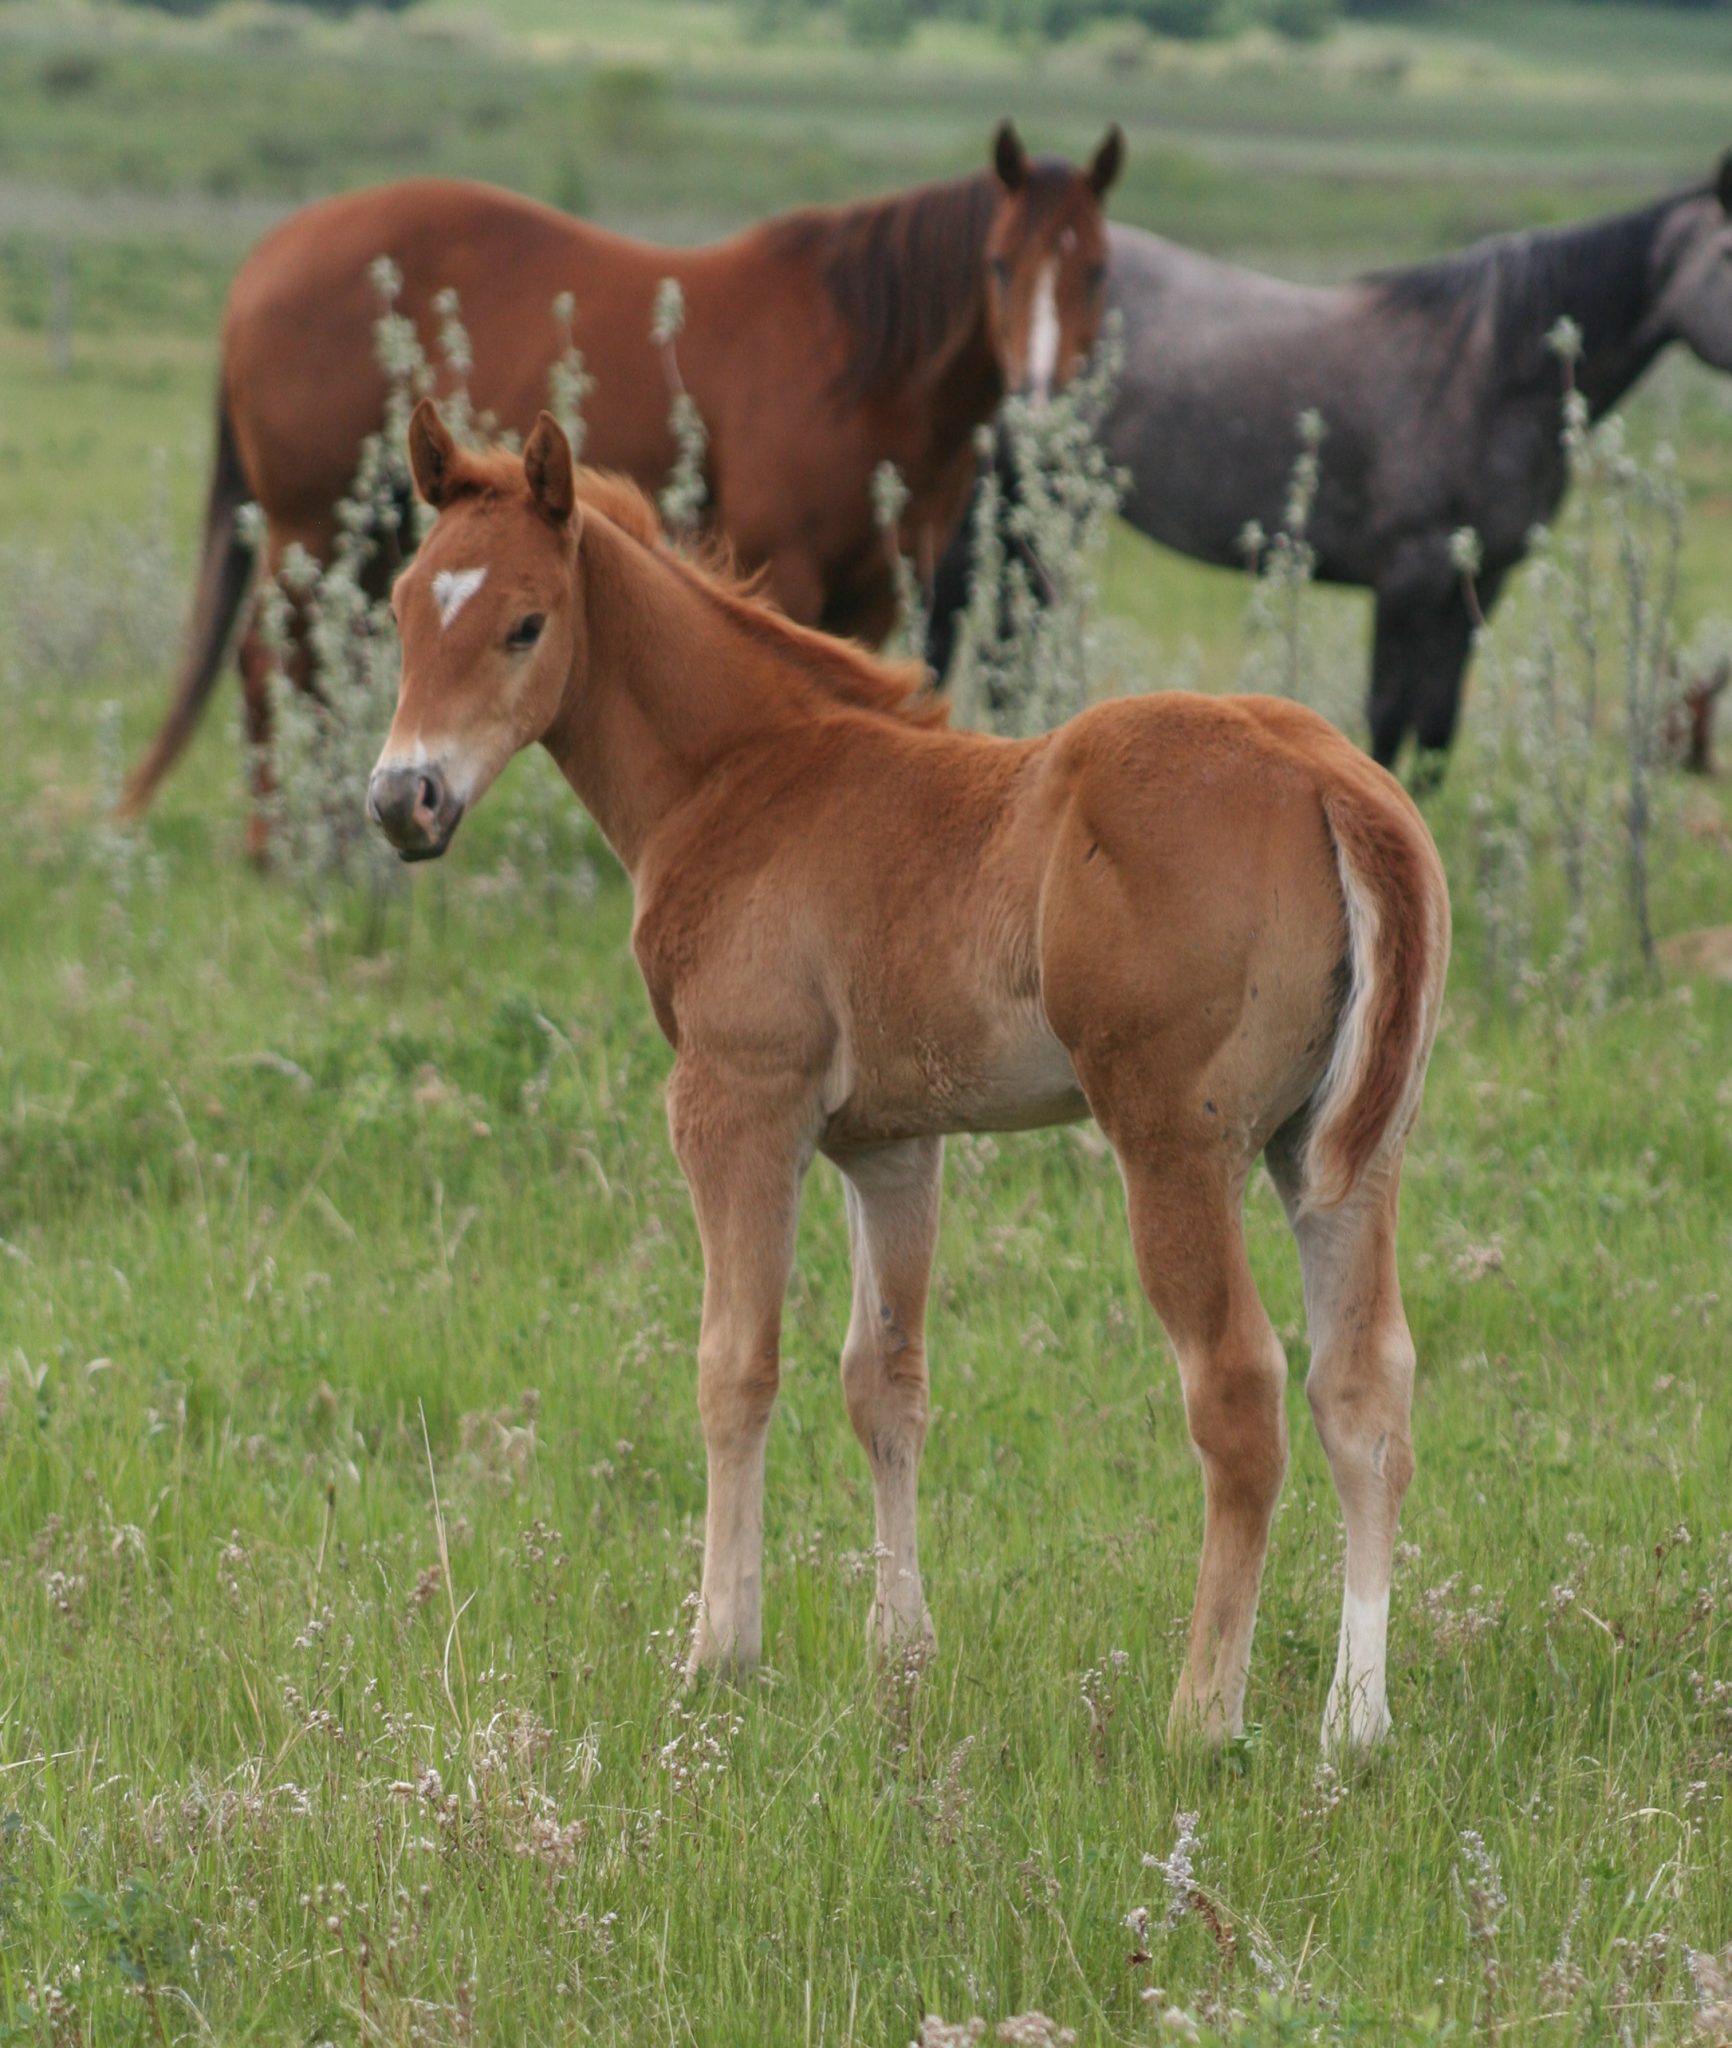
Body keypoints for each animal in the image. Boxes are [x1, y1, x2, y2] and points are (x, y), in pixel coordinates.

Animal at [118, 123, 1123, 851]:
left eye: (1098, 272)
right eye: (1001, 265)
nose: (1044, 396)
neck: (852, 354)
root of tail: (265, 260)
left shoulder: (874, 591)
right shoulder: (785, 567)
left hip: (371, 540)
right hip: (312, 530)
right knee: (270, 663)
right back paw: (280, 848)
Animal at [367, 400, 1451, 1754]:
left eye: (524, 622)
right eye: (402, 605)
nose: (402, 799)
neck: (743, 775)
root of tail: (1330, 776)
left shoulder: (736, 1099)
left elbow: (736, 1362)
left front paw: (717, 1653)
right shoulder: (889, 1141)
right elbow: (882, 1381)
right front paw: (900, 1656)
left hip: (1174, 1142)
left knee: (1240, 1392)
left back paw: (1201, 1713)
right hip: (1338, 1150)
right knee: (1364, 1393)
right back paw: (1355, 1723)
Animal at [930, 155, 1732, 773]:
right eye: (1727, 255)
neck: (1487, 370)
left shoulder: (1478, 584)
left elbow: (1436, 729)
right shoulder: (1409, 579)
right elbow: (1387, 719)